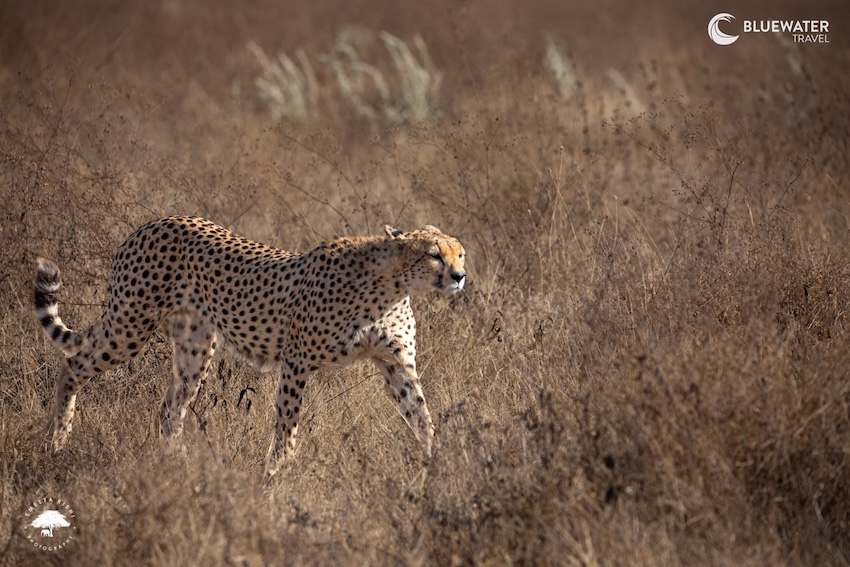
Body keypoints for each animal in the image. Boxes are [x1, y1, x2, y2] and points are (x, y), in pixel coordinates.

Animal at [33, 216, 466, 476]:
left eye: (460, 253)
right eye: (434, 255)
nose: (460, 276)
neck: (391, 287)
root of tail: (152, 222)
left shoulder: (396, 364)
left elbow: (422, 415)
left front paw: (436, 463)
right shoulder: (296, 361)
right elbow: (286, 425)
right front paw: (276, 475)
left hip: (195, 348)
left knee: (169, 408)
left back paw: (179, 466)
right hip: (130, 325)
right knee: (72, 365)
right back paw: (56, 439)